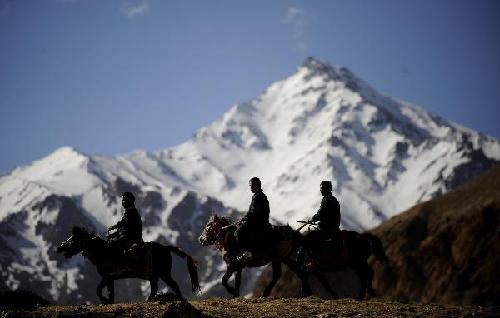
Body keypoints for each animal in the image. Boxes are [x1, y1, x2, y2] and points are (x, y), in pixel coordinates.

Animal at [56, 226, 199, 304]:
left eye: (74, 238)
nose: (59, 247)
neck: (102, 251)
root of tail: (165, 248)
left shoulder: (107, 276)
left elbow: (98, 290)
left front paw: (105, 301)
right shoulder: (110, 278)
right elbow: (110, 292)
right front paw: (109, 302)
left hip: (163, 273)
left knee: (173, 285)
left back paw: (179, 299)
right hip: (153, 275)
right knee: (155, 288)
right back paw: (148, 300)